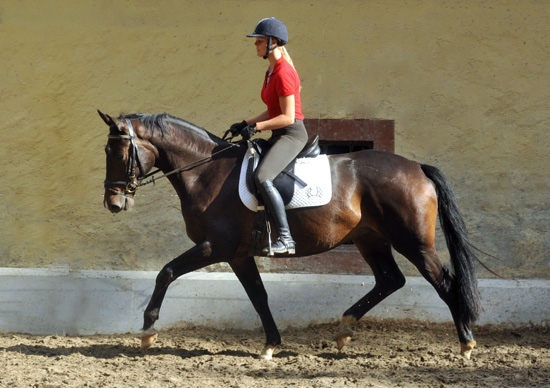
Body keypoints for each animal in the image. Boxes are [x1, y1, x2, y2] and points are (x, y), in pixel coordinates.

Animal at [100, 110, 484, 360]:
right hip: (370, 239)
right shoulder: (238, 254)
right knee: (390, 280)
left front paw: (148, 332)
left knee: (443, 282)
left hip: (413, 242)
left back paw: (465, 344)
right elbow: (259, 296)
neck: (206, 172)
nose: (113, 202)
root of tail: (417, 168)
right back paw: (344, 329)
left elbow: (166, 272)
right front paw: (271, 344)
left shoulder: (214, 247)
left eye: (117, 152)